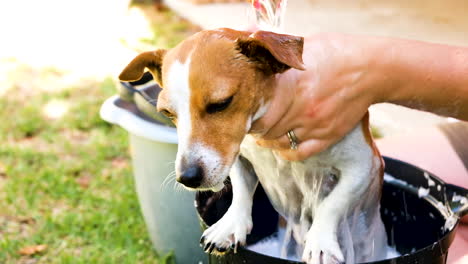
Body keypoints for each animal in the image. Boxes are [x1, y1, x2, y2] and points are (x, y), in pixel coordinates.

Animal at [119, 27, 388, 262]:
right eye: (167, 113)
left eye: (221, 103)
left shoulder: (364, 165)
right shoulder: (237, 156)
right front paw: (230, 225)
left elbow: (332, 204)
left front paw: (320, 241)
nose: (188, 177)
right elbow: (240, 190)